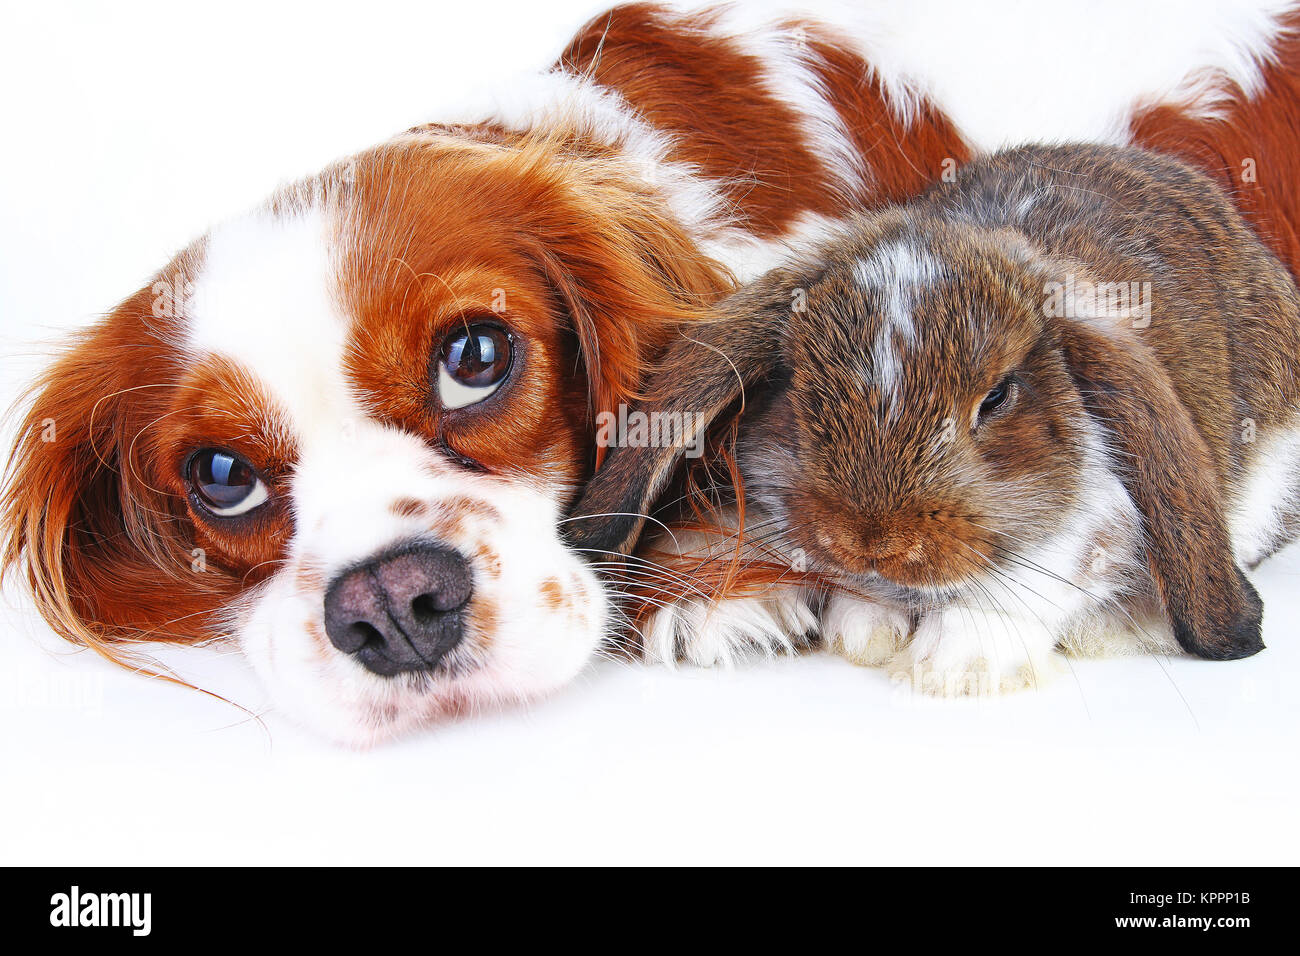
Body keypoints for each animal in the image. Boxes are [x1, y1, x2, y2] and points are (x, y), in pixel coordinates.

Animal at [564, 143, 1294, 697]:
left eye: (997, 398)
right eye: (796, 383)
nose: (872, 540)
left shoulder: (1088, 527)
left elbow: (1047, 573)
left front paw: (958, 664)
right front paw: (858, 627)